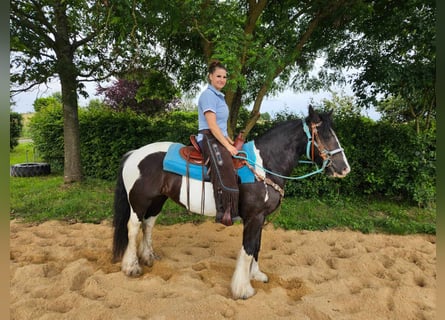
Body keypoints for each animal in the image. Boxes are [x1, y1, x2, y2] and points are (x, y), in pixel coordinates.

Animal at [112, 105, 350, 300]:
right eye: (324, 136)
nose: (344, 168)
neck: (264, 165)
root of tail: (134, 153)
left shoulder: (260, 218)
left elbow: (257, 246)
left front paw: (256, 275)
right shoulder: (253, 217)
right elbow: (248, 249)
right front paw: (242, 289)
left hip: (157, 200)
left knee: (149, 224)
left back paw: (149, 257)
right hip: (139, 202)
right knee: (133, 227)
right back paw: (132, 267)